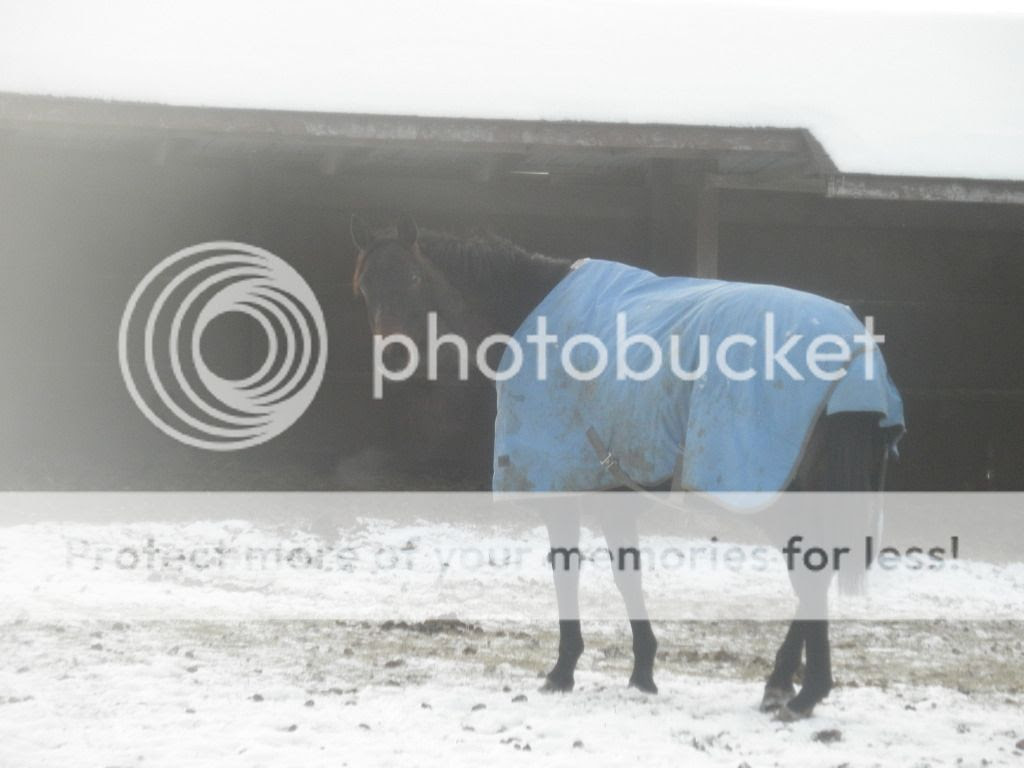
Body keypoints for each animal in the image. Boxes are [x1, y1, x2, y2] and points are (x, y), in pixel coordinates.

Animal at [350, 214, 901, 721]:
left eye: (413, 278)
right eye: (364, 285)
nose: (392, 355)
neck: (537, 318)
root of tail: (855, 356)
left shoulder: (565, 490)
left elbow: (572, 572)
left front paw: (564, 671)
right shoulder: (613, 492)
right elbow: (628, 574)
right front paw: (642, 673)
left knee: (810, 574)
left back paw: (802, 692)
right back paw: (786, 684)